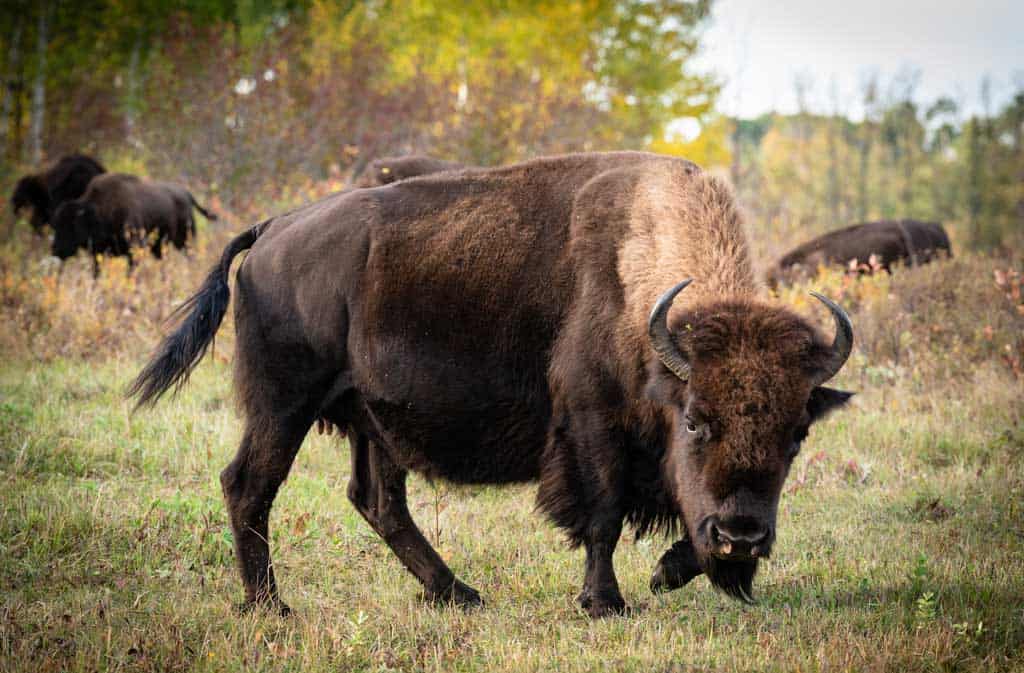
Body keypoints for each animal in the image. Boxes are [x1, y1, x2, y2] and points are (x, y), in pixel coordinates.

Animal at [51, 173, 217, 276]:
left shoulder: (134, 250)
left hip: (183, 241)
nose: (56, 250)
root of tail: (186, 194)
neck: (98, 210)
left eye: (71, 225)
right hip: (159, 247)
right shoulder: (98, 254)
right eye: (56, 225)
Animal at [131, 152, 854, 618]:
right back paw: (270, 606)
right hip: (284, 403)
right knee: (250, 484)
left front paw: (665, 572)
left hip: (371, 419)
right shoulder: (591, 424)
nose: (743, 536)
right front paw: (606, 602)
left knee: (378, 500)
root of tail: (273, 229)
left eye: (796, 433)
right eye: (697, 419)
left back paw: (457, 594)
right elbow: (603, 515)